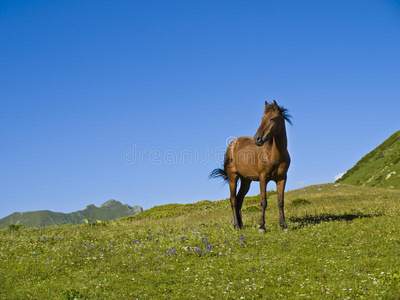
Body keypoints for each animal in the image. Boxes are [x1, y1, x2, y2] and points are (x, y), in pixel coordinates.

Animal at [209, 101, 290, 232]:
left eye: (272, 118)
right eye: (262, 118)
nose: (257, 138)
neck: (274, 154)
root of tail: (233, 144)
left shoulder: (282, 179)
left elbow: (280, 201)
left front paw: (284, 225)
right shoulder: (263, 178)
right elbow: (263, 202)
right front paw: (262, 227)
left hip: (246, 181)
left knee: (239, 199)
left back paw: (241, 225)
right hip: (233, 177)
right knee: (233, 199)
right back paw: (236, 225)